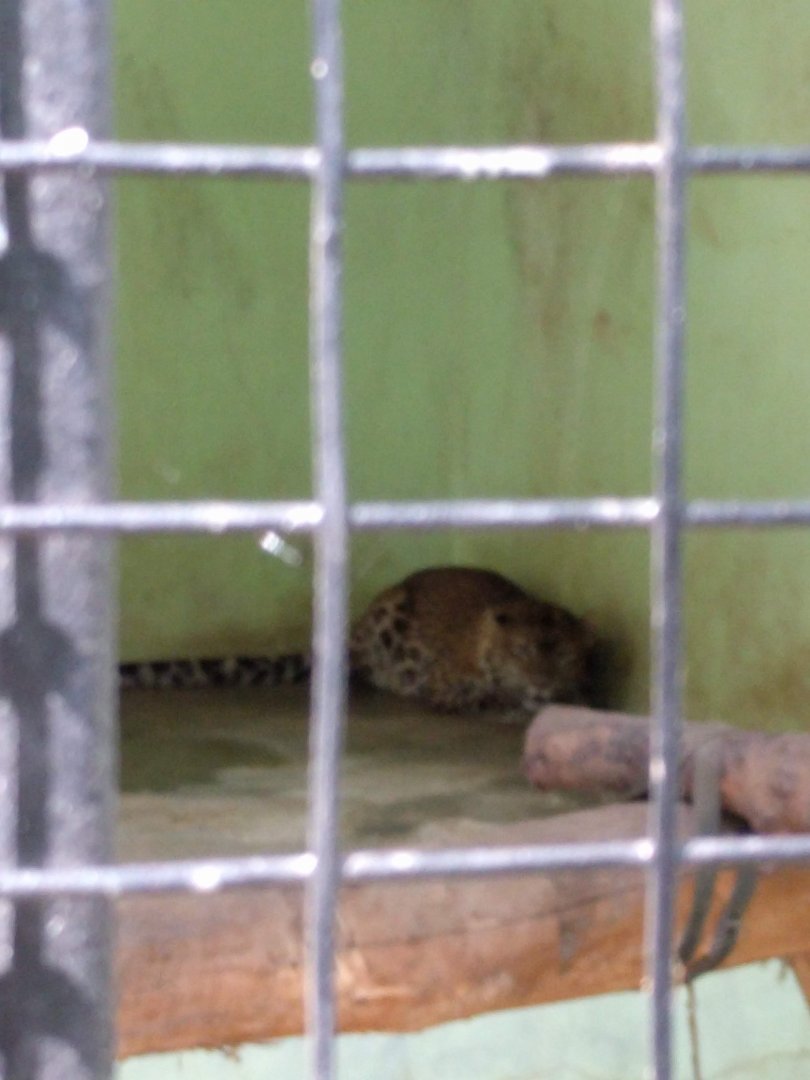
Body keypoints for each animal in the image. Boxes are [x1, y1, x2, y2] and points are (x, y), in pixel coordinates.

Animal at [119, 566, 597, 712]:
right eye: (522, 651)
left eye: (564, 656)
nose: (542, 684)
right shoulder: (446, 686)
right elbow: (488, 695)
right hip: (390, 612)